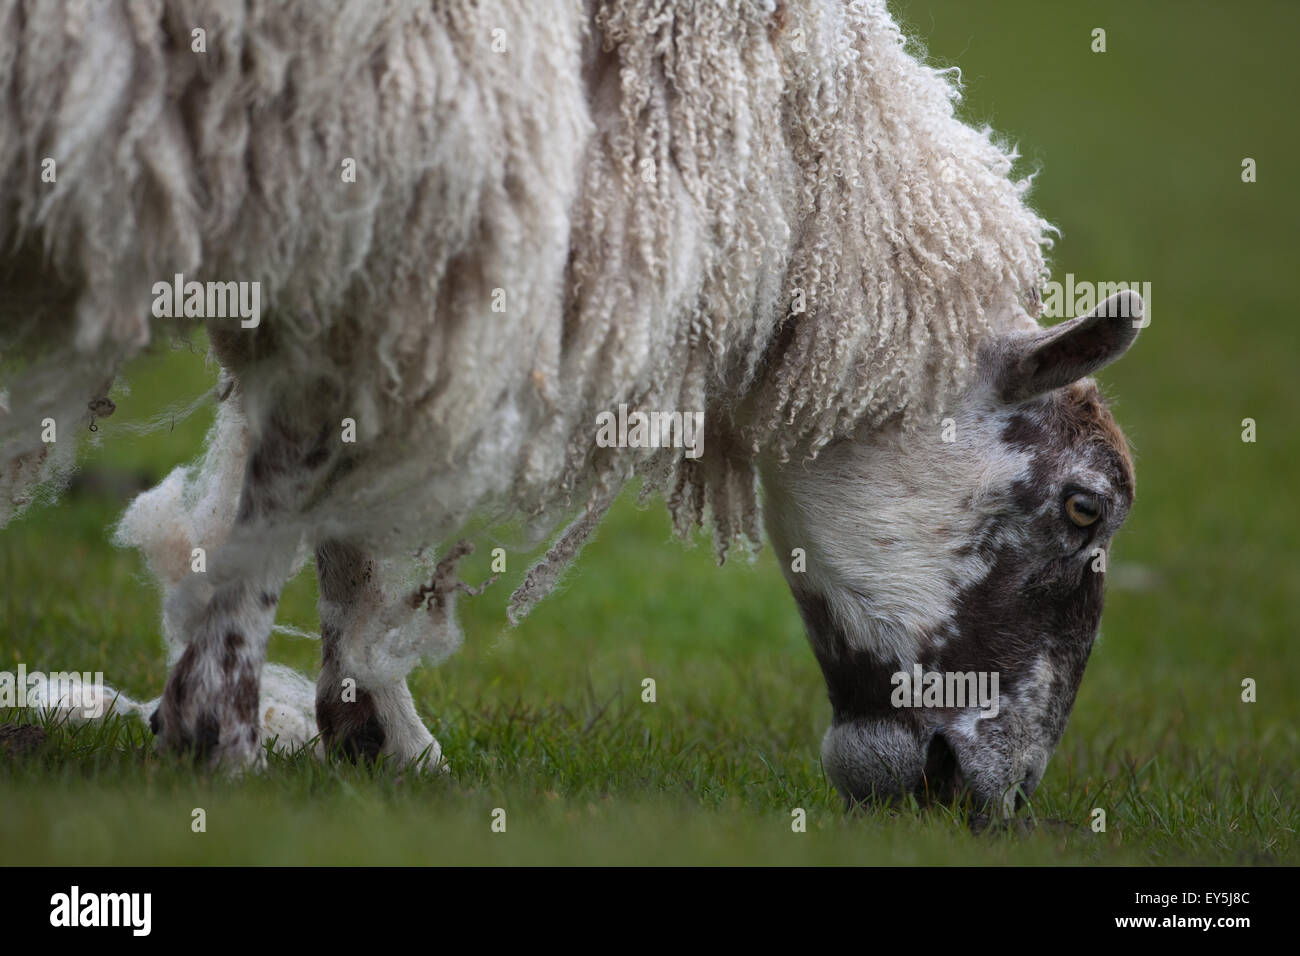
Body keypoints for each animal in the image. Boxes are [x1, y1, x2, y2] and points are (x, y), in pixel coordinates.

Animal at [0, 1, 1138, 822]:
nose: (992, 798)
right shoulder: (392, 244)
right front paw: (227, 736)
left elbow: (336, 527)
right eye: (1085, 507)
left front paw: (365, 727)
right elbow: (291, 503)